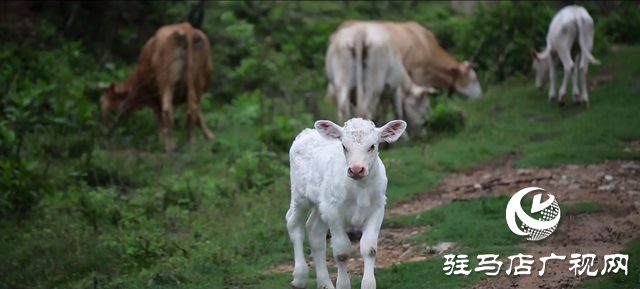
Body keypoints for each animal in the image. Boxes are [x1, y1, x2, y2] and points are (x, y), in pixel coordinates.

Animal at [100, 22, 214, 153]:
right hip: (198, 82)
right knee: (193, 109)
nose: (105, 124)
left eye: (102, 101)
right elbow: (200, 117)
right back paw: (191, 145)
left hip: (166, 80)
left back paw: (169, 148)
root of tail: (185, 26)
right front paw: (210, 138)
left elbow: (160, 122)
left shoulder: (153, 99)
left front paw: (162, 143)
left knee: (167, 111)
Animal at [284, 117, 404, 288]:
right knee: (293, 223)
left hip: (322, 202)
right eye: (344, 146)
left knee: (314, 230)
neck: (359, 188)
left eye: (372, 146)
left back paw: (325, 284)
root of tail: (306, 132)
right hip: (299, 194)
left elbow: (369, 248)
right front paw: (343, 284)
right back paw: (300, 277)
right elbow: (342, 252)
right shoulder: (333, 212)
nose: (356, 169)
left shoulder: (377, 208)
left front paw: (368, 284)